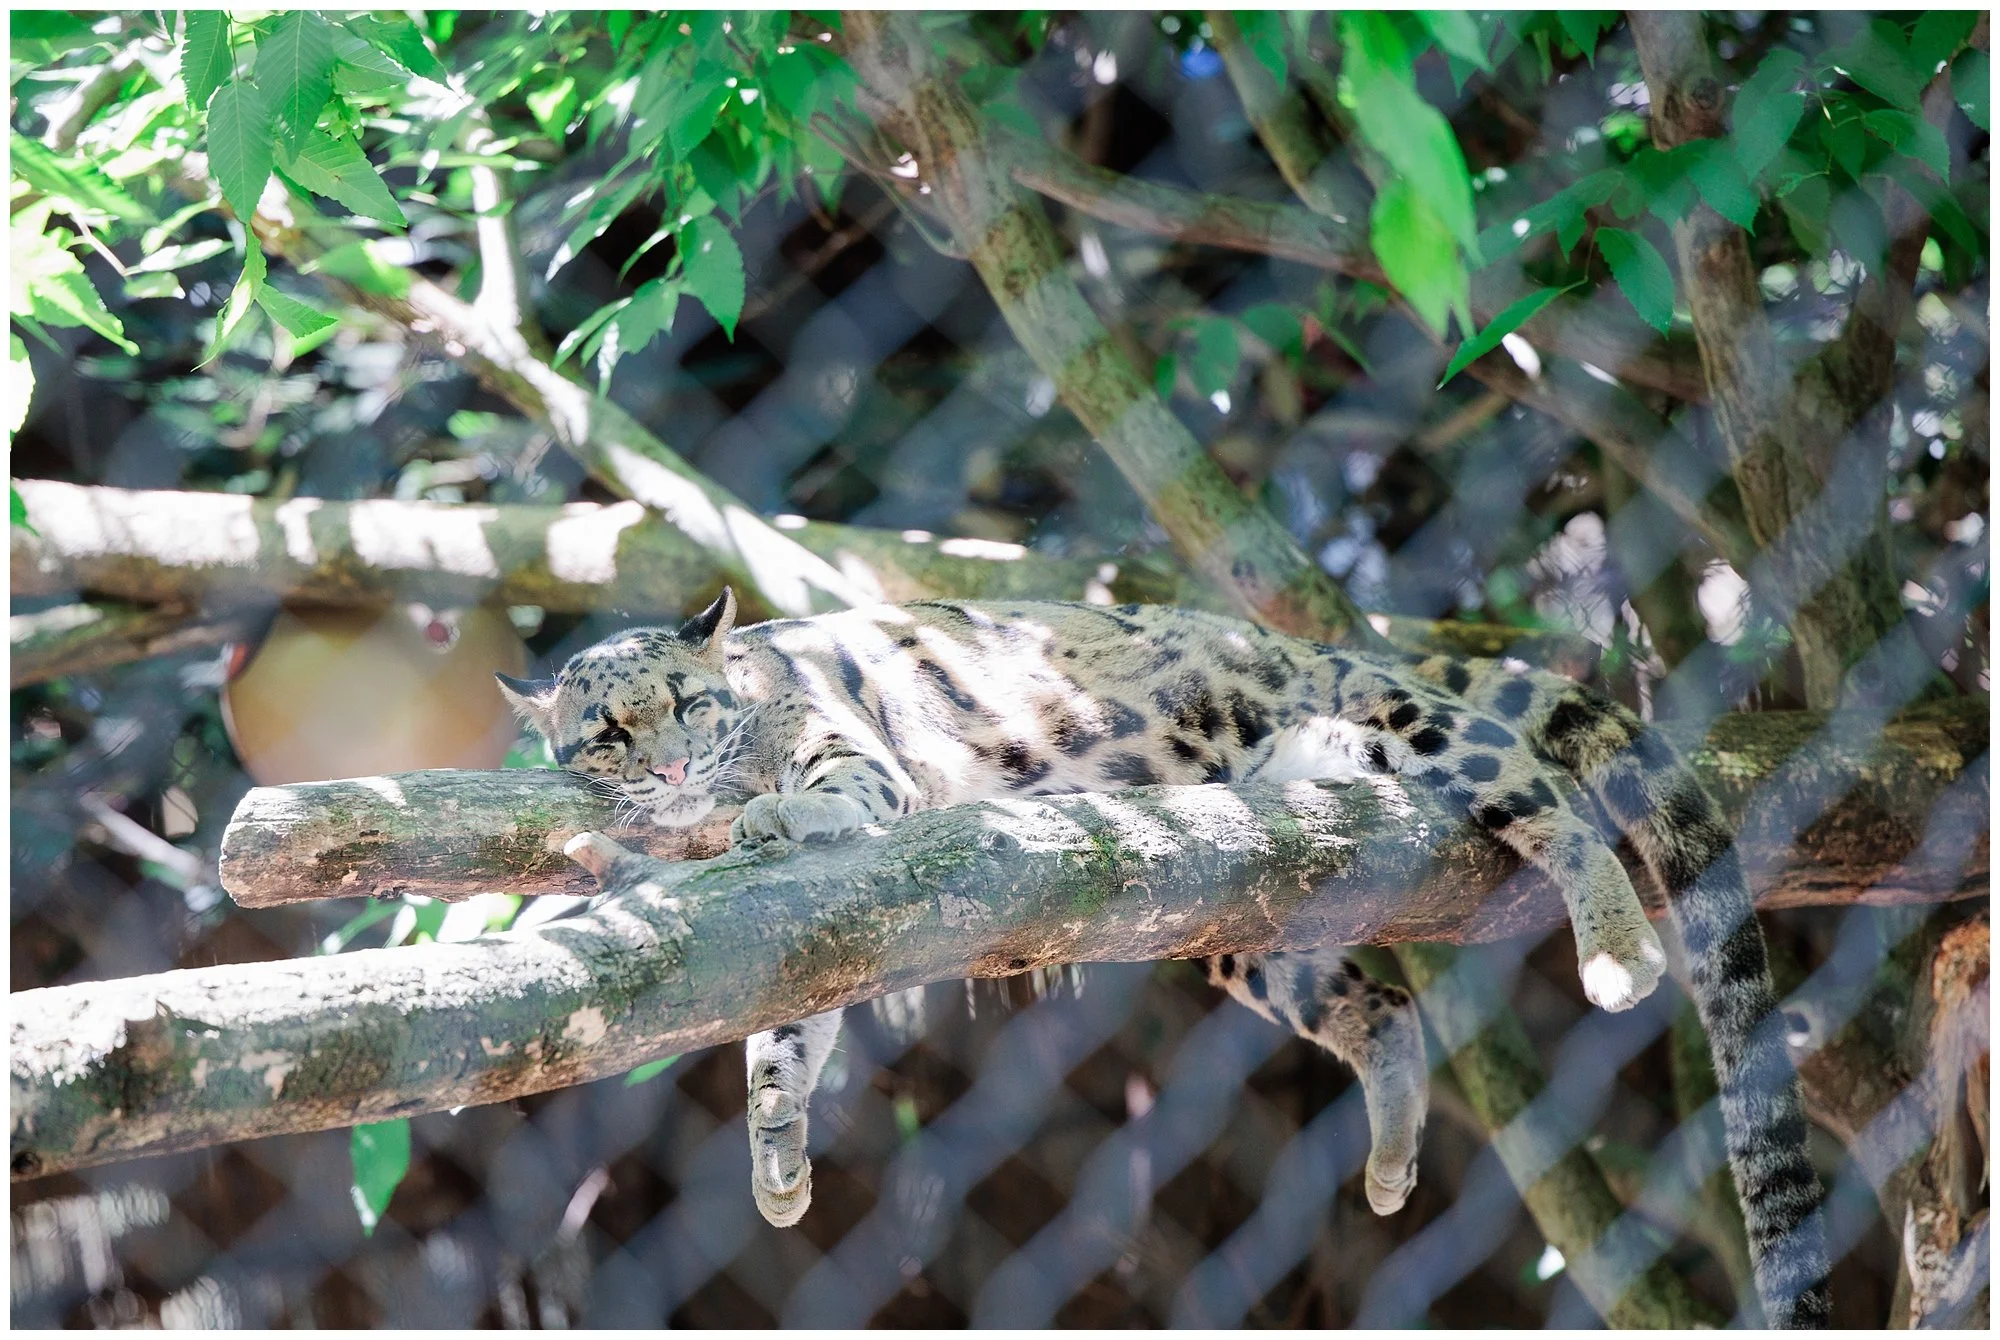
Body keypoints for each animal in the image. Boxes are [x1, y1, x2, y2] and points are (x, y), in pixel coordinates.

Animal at [499, 588, 1831, 1327]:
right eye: (605, 731)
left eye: (688, 702)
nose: (675, 765)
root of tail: (1307, 648)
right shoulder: (813, 937)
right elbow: (790, 1018)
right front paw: (776, 1147)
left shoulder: (854, 756)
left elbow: (830, 797)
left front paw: (778, 814)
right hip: (1239, 910)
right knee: (1375, 1001)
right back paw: (1390, 1134)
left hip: (1427, 733)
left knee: (1547, 796)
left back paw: (1611, 952)